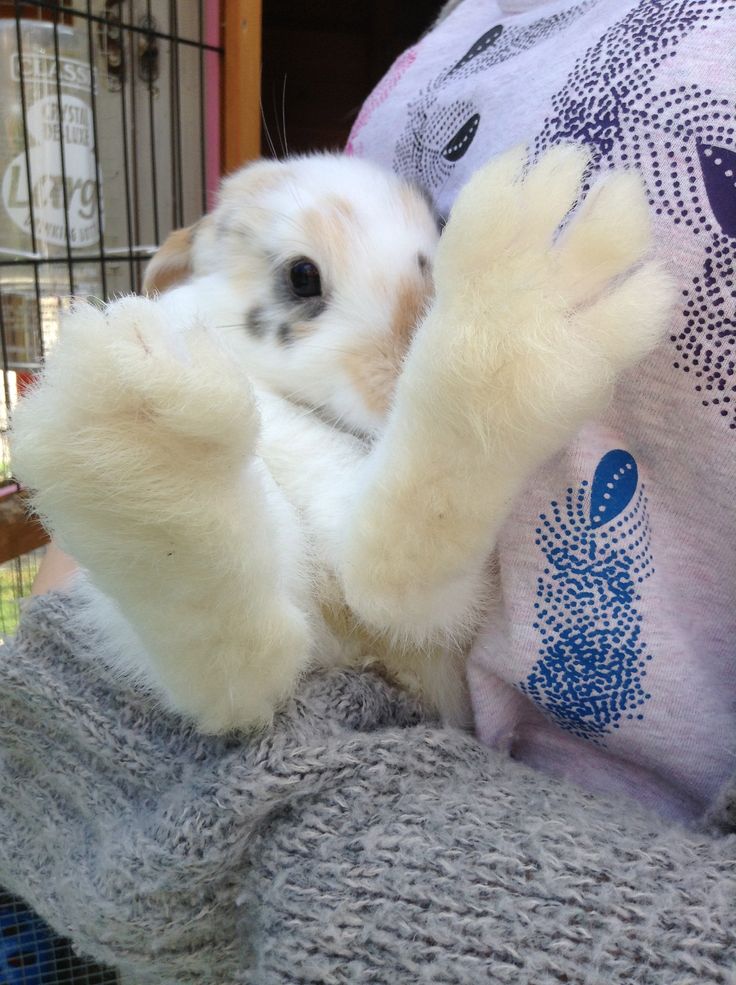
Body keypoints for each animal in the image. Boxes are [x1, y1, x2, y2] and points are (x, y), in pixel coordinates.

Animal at [11, 145, 674, 733]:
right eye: (302, 276)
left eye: (438, 241)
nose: (398, 364)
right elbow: (238, 666)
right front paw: (130, 420)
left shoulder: (441, 619)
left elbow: (398, 558)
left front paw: (521, 294)